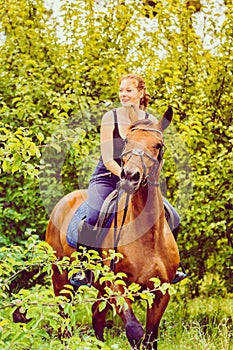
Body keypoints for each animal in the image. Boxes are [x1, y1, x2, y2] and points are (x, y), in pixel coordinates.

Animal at [46, 107, 180, 350]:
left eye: (157, 145)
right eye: (126, 141)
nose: (130, 177)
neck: (148, 237)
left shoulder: (160, 292)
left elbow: (150, 337)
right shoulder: (117, 286)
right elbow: (135, 332)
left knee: (96, 317)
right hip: (61, 279)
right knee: (64, 319)